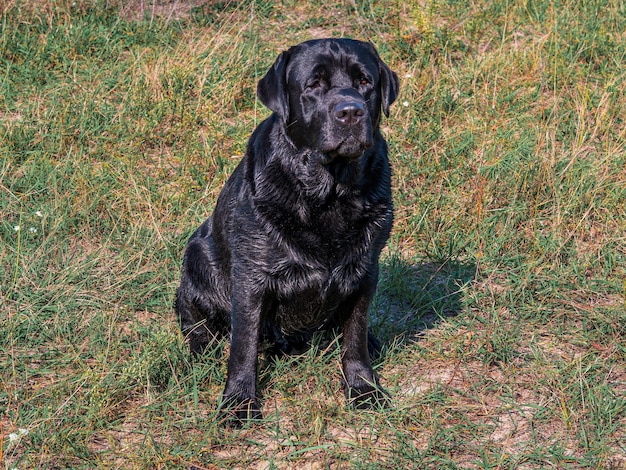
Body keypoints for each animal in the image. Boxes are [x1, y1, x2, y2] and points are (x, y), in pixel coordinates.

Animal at [174, 38, 400, 420]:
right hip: (197, 257)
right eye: (314, 85)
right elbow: (243, 347)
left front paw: (363, 388)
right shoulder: (251, 278)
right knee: (197, 324)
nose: (350, 111)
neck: (329, 192)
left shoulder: (365, 270)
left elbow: (354, 339)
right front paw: (238, 402)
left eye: (365, 81)